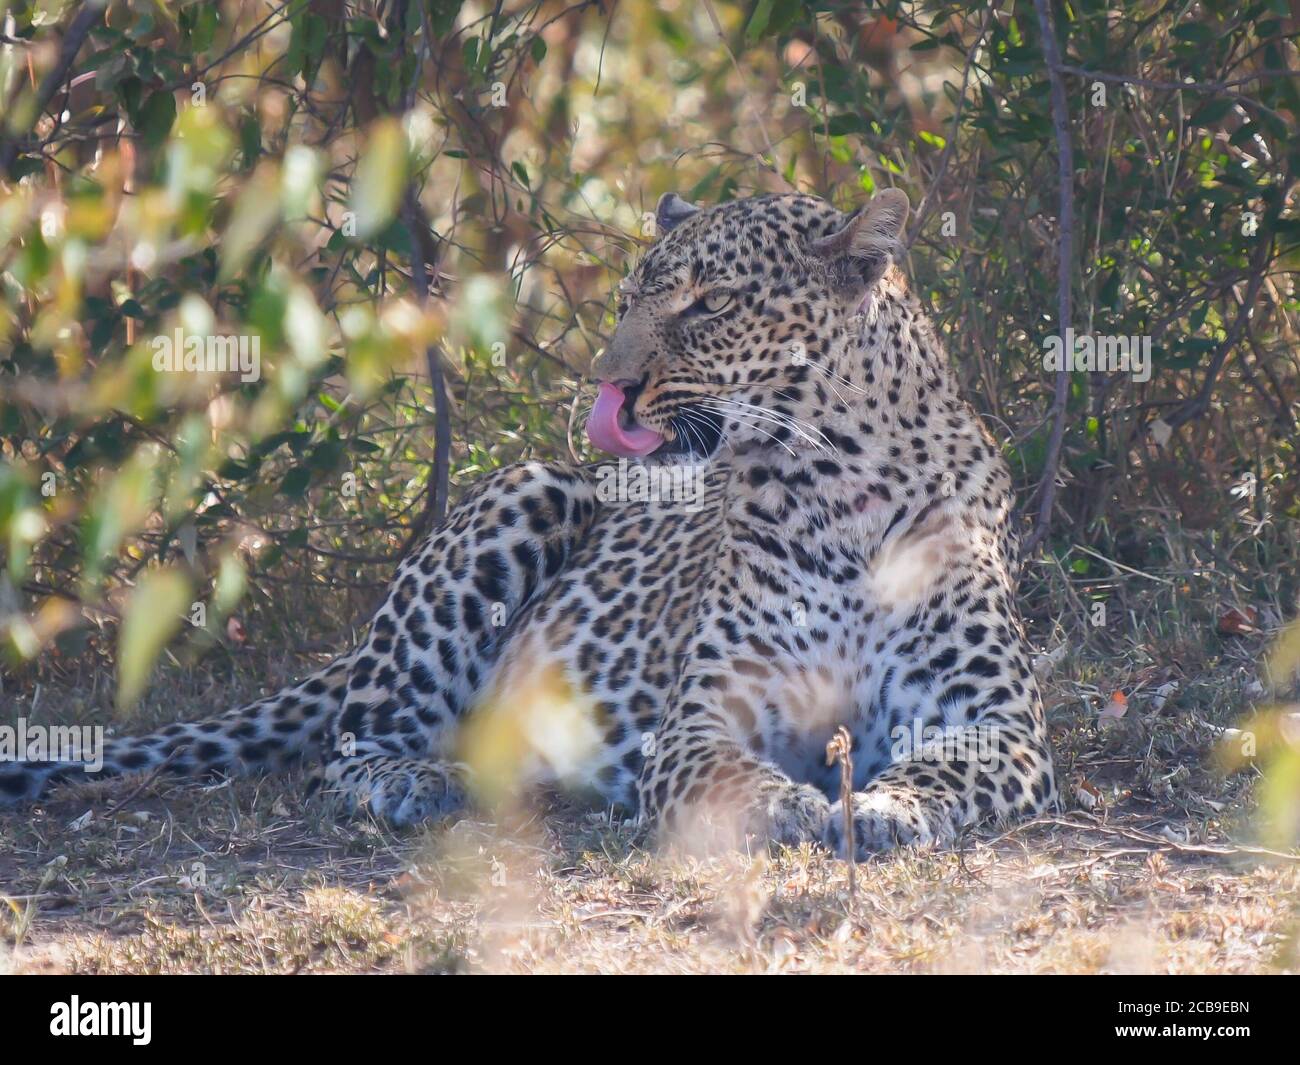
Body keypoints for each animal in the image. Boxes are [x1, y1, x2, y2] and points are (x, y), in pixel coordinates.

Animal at [0, 189, 1055, 858]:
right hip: (527, 489)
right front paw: (792, 808)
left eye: (710, 304)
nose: (607, 384)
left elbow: (943, 772)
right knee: (343, 752)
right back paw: (418, 782)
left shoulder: (994, 720)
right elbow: (728, 774)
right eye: (630, 299)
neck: (832, 488)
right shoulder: (702, 719)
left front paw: (881, 810)